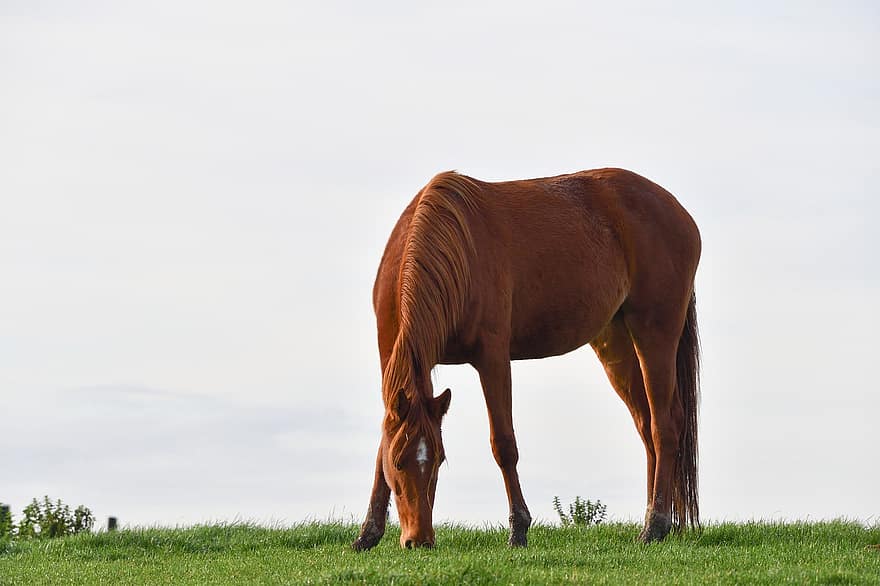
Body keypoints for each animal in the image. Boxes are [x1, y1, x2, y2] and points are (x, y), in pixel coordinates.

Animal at [352, 168, 700, 548]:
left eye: (440, 461)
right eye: (399, 463)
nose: (420, 539)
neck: (451, 246)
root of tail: (677, 211)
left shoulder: (492, 358)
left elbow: (504, 443)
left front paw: (518, 528)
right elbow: (381, 447)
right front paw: (368, 532)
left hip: (655, 333)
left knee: (664, 425)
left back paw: (656, 524)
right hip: (617, 342)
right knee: (646, 425)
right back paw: (652, 520)